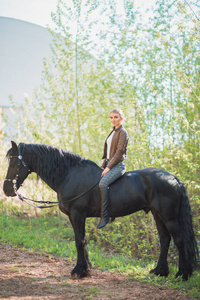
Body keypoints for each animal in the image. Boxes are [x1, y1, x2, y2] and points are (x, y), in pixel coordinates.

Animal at [2, 142, 198, 280]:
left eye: (14, 162)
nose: (7, 189)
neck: (69, 174)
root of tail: (174, 179)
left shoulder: (78, 214)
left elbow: (79, 241)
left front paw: (79, 271)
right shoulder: (74, 217)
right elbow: (81, 241)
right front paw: (86, 268)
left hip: (169, 216)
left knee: (179, 241)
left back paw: (182, 274)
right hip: (157, 214)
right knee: (165, 240)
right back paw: (159, 271)